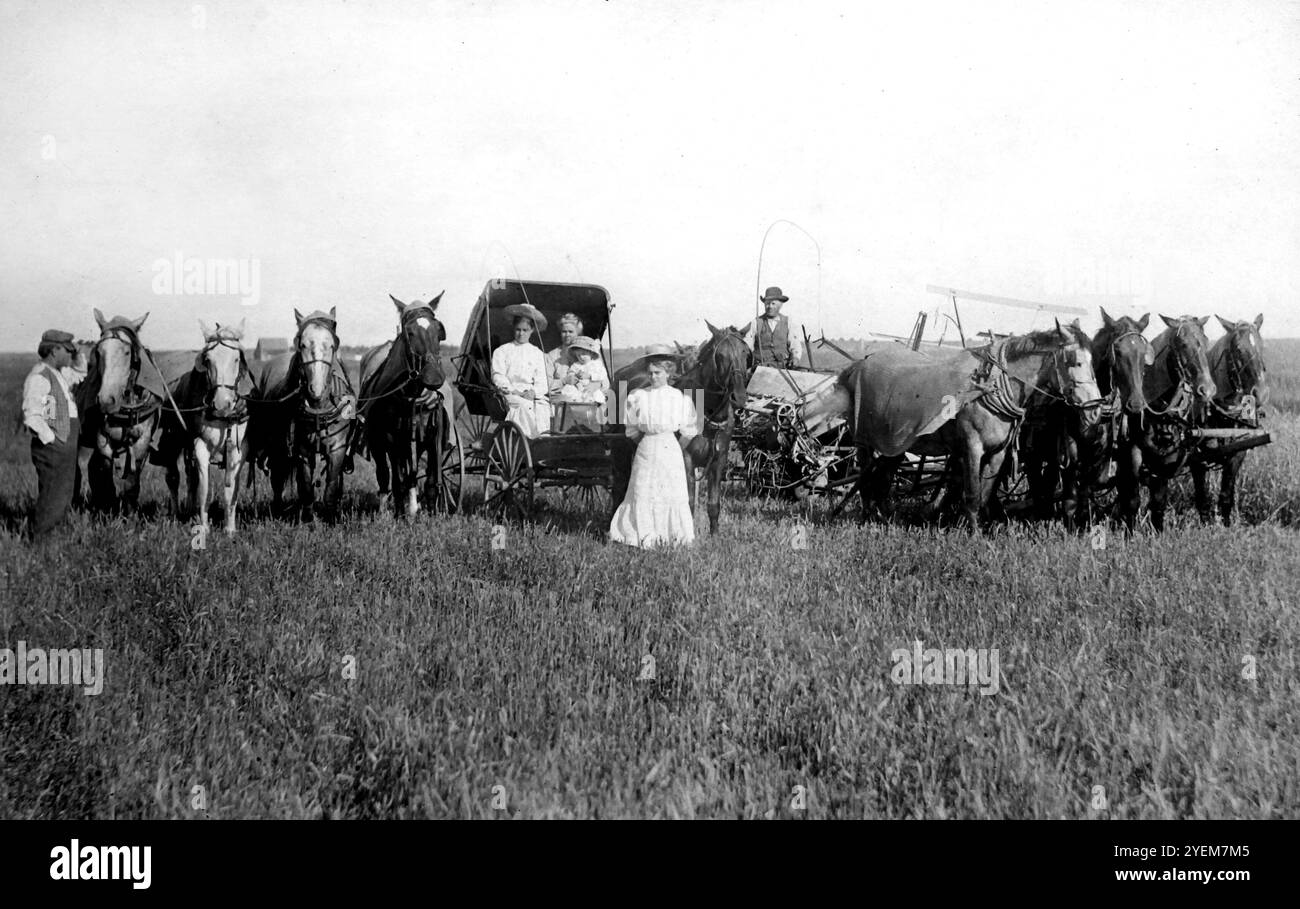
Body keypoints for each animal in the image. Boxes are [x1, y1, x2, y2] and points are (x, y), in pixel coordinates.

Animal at [358, 295, 449, 514]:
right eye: (410, 332)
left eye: (438, 330)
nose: (433, 377)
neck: (413, 398)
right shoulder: (392, 440)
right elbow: (398, 480)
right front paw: (401, 513)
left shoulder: (435, 439)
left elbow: (430, 480)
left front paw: (431, 513)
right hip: (377, 442)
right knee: (384, 474)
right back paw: (386, 510)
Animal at [1190, 314, 1268, 522]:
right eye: (1238, 349)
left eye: (1262, 345)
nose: (1261, 393)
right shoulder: (1195, 454)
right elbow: (1201, 492)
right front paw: (1205, 520)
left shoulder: (1238, 451)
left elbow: (1226, 491)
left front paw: (1225, 521)